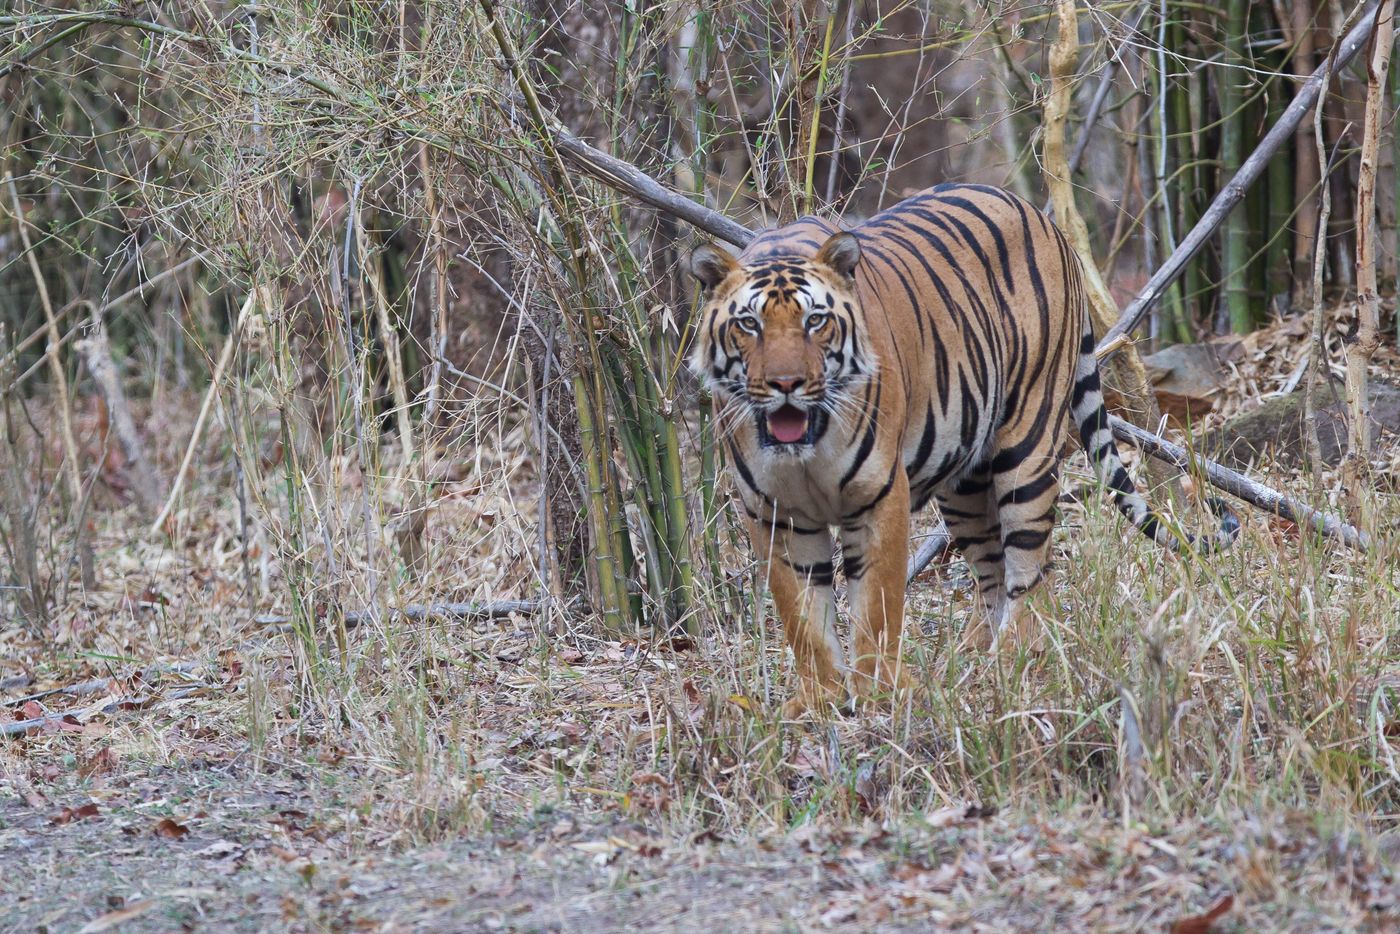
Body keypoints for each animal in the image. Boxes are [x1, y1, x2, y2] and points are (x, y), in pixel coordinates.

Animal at [688, 186, 1237, 722]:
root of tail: (1041, 216)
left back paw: (1014, 655)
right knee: (996, 568)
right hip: (962, 481)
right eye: (749, 325)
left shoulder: (879, 497)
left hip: (1027, 444)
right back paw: (979, 654)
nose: (786, 384)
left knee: (1029, 562)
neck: (805, 449)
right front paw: (819, 699)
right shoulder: (775, 514)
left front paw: (879, 692)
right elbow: (802, 617)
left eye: (815, 321)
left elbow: (877, 603)